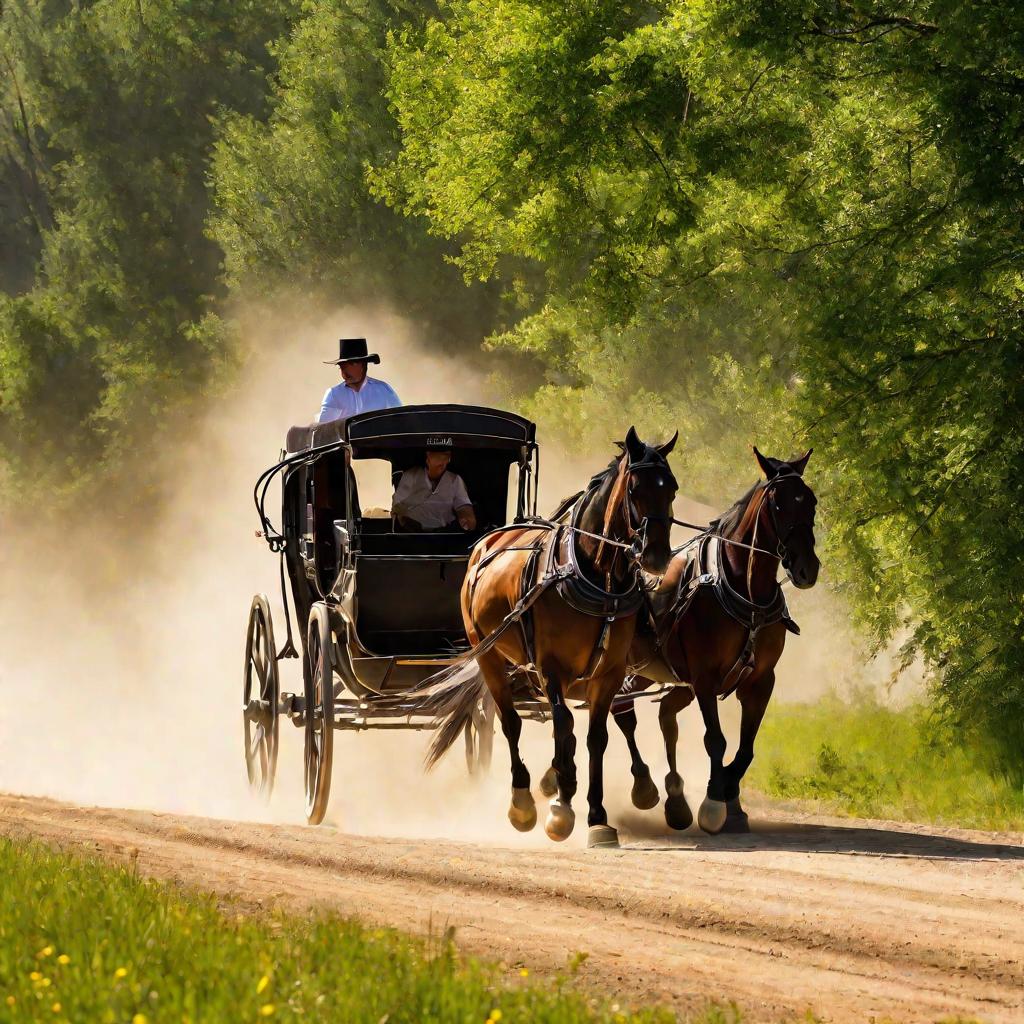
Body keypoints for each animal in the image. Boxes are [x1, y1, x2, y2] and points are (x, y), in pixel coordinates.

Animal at [419, 423, 675, 847]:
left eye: (671, 488)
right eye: (636, 489)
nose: (656, 557)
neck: (594, 576)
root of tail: (486, 543)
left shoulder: (609, 673)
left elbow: (596, 736)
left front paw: (596, 814)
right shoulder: (551, 667)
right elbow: (564, 727)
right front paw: (562, 810)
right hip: (489, 655)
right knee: (510, 721)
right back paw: (522, 802)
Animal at [614, 448, 815, 831]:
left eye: (811, 501)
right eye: (778, 504)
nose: (807, 569)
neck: (743, 591)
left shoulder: (760, 681)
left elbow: (745, 748)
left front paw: (730, 797)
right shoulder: (705, 677)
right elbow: (716, 740)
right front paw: (714, 801)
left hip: (663, 676)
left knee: (664, 715)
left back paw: (675, 797)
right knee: (621, 712)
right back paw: (640, 787)